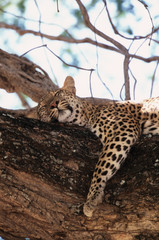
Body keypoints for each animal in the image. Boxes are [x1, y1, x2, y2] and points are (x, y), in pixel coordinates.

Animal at [37, 75, 159, 218]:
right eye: (43, 107)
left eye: (57, 94)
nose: (53, 105)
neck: (89, 115)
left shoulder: (123, 130)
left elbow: (102, 166)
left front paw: (92, 198)